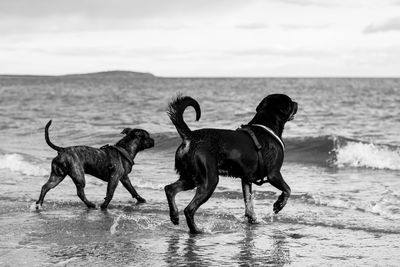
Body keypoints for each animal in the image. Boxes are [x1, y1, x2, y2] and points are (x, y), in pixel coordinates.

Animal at [164, 94, 298, 234]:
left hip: (191, 177)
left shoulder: (246, 179)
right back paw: (196, 230)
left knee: (170, 189)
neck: (267, 125)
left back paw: (174, 216)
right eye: (289, 103)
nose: (296, 103)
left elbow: (249, 204)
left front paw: (253, 220)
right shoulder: (274, 174)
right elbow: (288, 189)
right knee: (189, 209)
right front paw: (279, 204)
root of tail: (190, 137)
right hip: (209, 180)